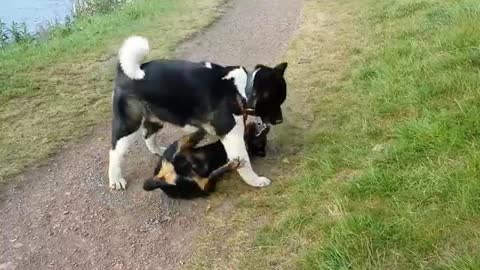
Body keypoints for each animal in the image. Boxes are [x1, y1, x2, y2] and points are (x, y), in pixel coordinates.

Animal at [142, 121, 270, 199]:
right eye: (262, 137)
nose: (267, 125)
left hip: (204, 185)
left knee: (212, 175)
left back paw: (232, 164)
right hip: (179, 148)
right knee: (193, 137)